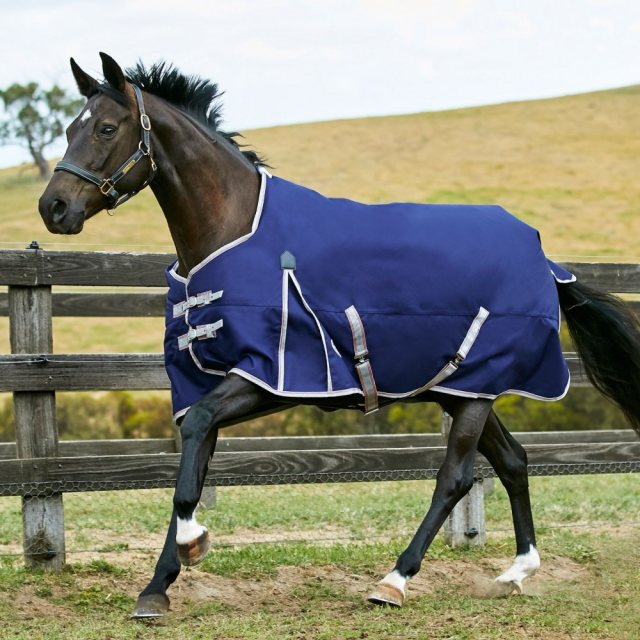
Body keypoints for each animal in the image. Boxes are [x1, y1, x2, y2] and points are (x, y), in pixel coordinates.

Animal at [36, 53, 640, 616]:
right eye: (67, 129)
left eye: (106, 128)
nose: (53, 207)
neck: (233, 231)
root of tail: (543, 257)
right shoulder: (206, 382)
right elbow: (191, 468)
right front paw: (157, 587)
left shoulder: (269, 376)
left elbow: (195, 453)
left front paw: (192, 546)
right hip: (463, 388)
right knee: (513, 461)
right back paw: (517, 571)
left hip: (475, 392)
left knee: (455, 477)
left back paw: (394, 581)